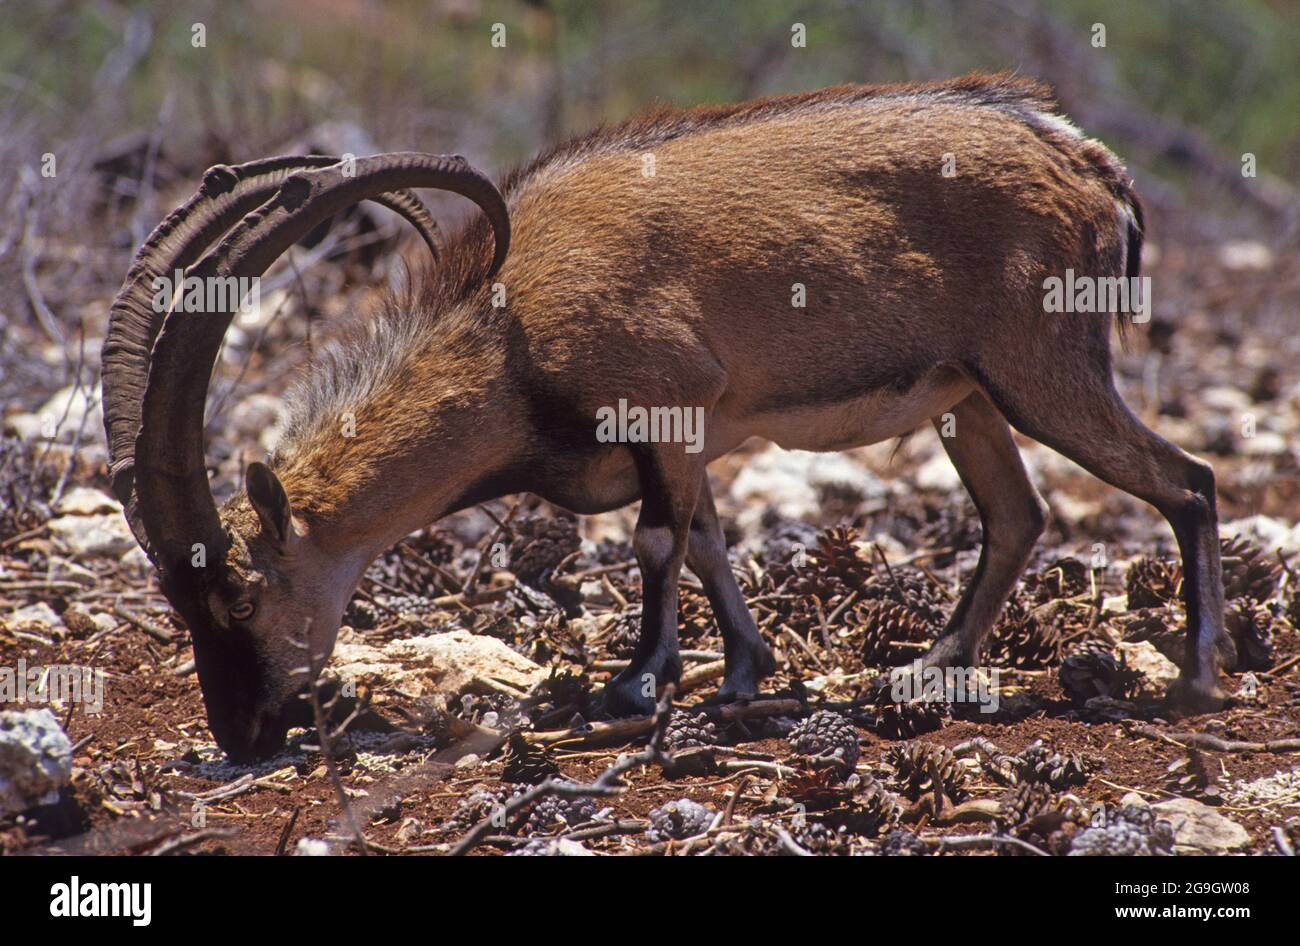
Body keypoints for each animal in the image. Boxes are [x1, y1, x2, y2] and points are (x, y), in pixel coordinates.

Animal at [101, 77, 1227, 764]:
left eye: (242, 594)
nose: (241, 732)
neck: (512, 330)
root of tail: (1090, 166)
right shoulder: (691, 442)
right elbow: (706, 538)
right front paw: (743, 671)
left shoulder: (665, 406)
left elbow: (653, 540)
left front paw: (635, 687)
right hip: (969, 398)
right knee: (1017, 514)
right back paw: (924, 668)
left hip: (1044, 369)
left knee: (1187, 481)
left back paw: (1200, 673)